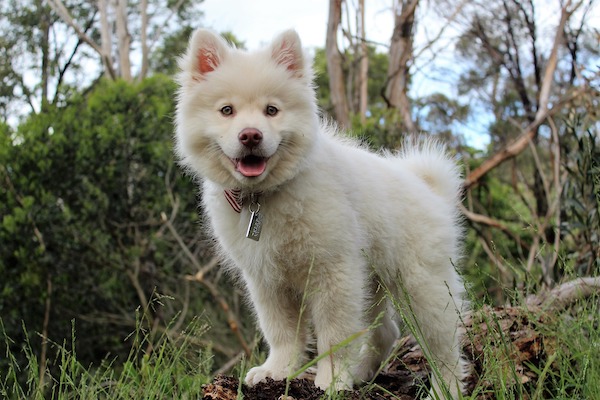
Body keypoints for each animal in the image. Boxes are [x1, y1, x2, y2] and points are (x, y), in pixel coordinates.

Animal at [176, 27, 466, 396]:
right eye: (226, 110)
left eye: (272, 110)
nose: (250, 135)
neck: (265, 197)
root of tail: (431, 191)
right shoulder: (268, 280)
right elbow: (281, 333)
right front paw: (277, 371)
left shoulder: (333, 271)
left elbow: (333, 335)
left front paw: (332, 379)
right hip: (371, 281)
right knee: (386, 332)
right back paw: (362, 373)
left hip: (423, 286)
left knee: (445, 348)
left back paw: (446, 390)